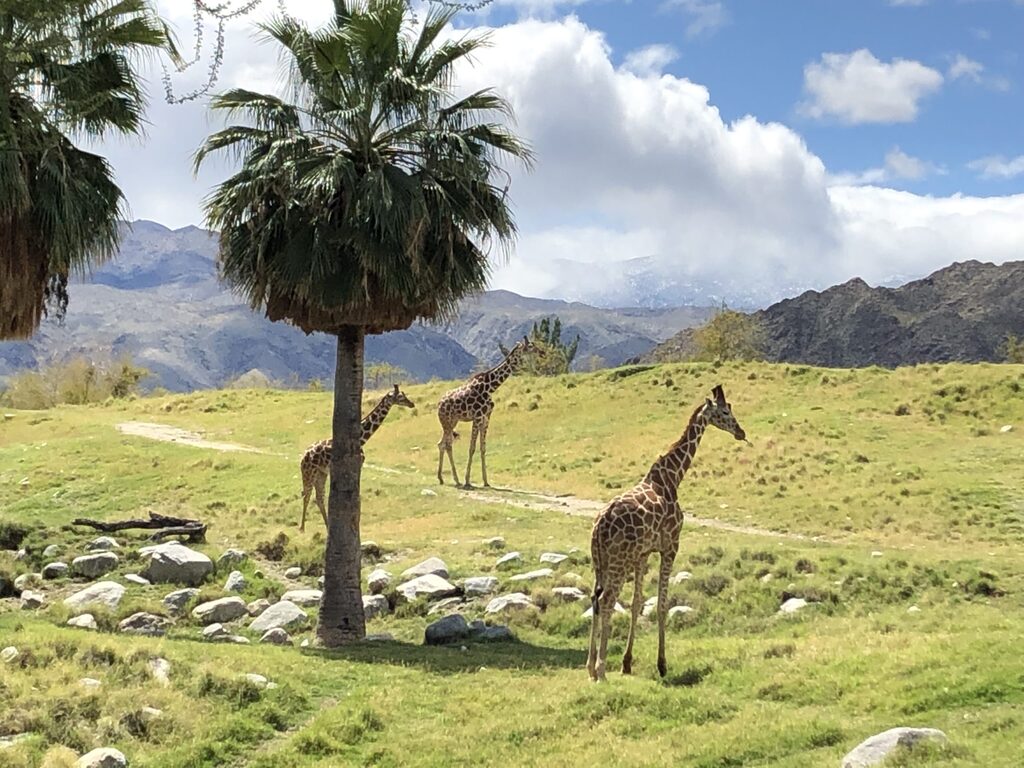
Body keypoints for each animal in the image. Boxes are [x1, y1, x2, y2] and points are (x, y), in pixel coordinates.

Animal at [299, 382, 415, 532]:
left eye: (404, 395)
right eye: (400, 397)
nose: (411, 403)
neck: (361, 439)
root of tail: (303, 457)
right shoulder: (357, 465)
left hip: (321, 473)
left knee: (319, 497)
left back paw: (328, 526)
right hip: (309, 472)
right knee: (306, 494)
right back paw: (302, 528)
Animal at [436, 339, 536, 489]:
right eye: (530, 346)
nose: (542, 352)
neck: (490, 387)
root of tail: (439, 405)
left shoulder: (486, 418)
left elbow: (483, 448)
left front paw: (486, 481)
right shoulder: (477, 417)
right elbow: (472, 448)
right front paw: (467, 481)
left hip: (452, 421)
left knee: (442, 443)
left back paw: (443, 478)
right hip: (447, 422)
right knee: (446, 445)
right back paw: (455, 480)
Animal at [589, 387, 749, 684]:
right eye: (725, 411)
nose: (741, 432)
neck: (674, 477)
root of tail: (600, 527)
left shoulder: (643, 554)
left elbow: (637, 603)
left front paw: (627, 663)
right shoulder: (671, 545)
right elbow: (662, 604)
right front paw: (662, 665)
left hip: (600, 561)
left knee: (595, 599)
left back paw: (590, 667)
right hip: (618, 561)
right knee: (606, 601)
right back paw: (600, 671)